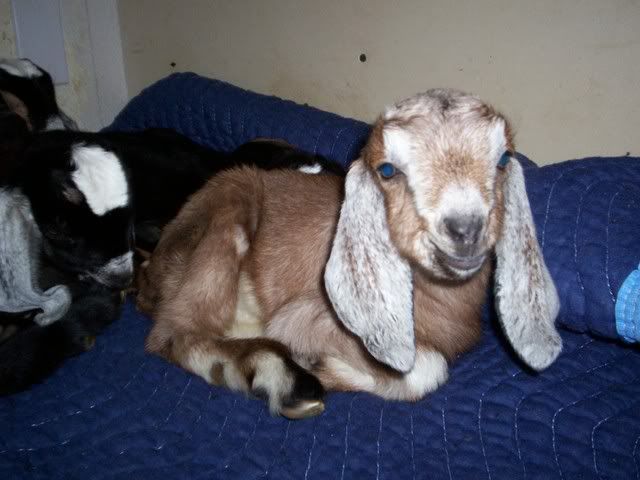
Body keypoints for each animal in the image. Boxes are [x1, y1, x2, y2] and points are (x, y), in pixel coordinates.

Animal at [137, 89, 562, 419]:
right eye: (388, 170)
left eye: (503, 159)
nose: (465, 229)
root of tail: (151, 275)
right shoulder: (306, 317)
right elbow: (428, 368)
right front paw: (314, 364)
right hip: (228, 209)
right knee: (172, 335)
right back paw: (282, 379)